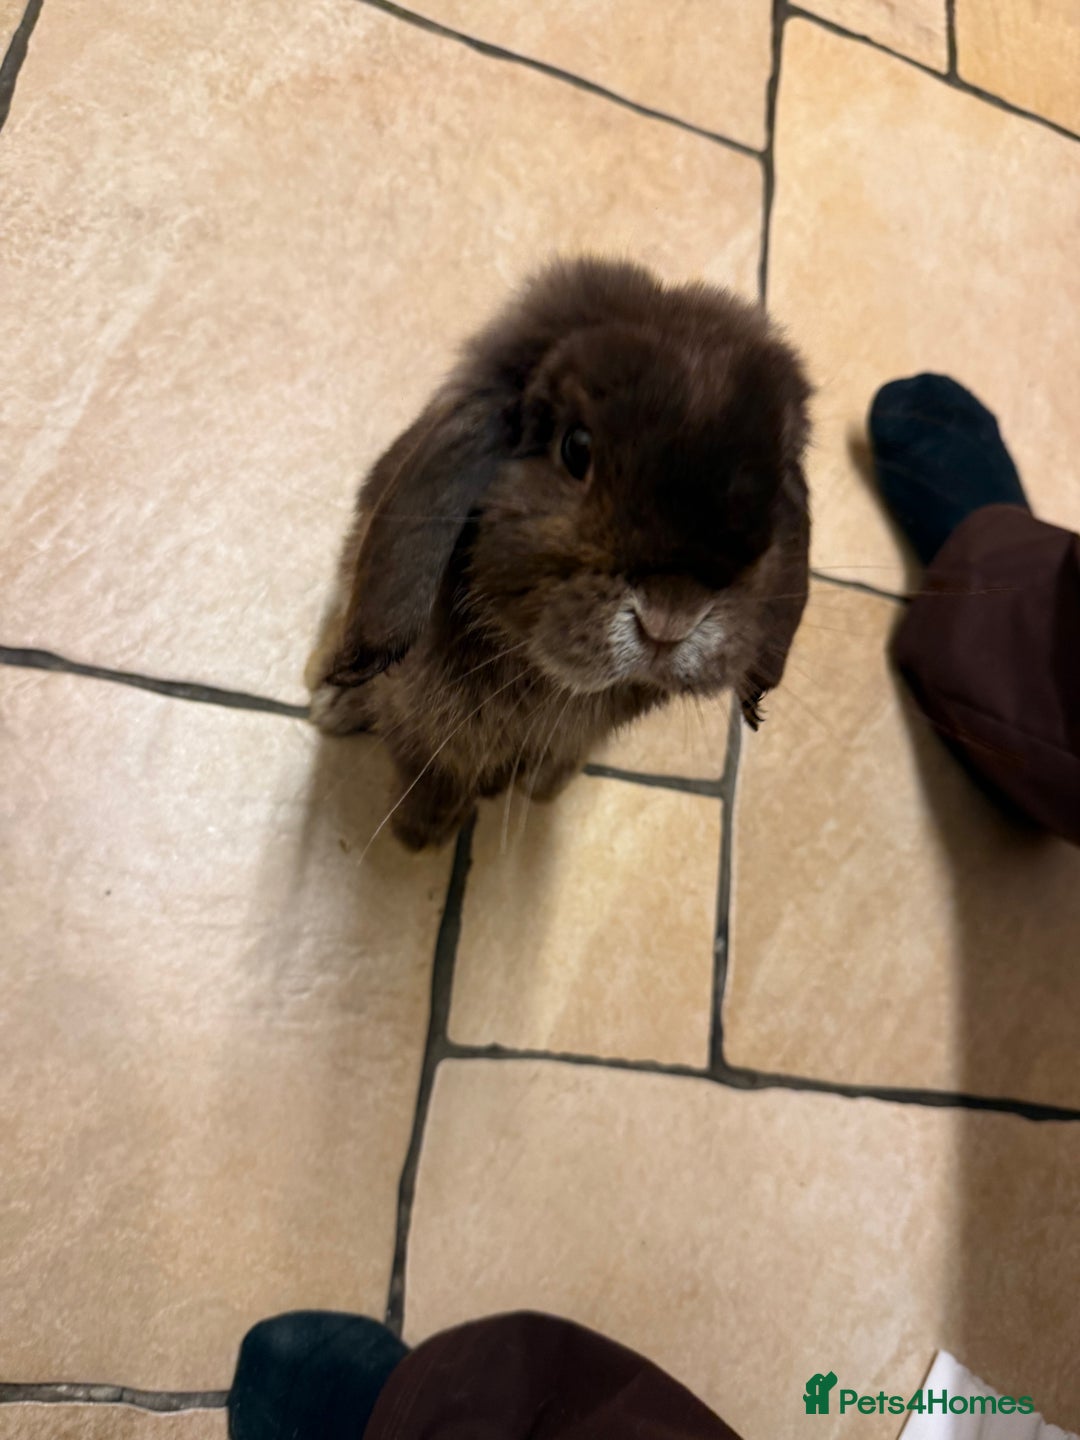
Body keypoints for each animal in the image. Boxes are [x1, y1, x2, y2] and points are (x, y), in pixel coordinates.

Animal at [305, 257, 811, 851]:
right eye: (576, 449)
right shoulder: (428, 719)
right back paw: (330, 702)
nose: (670, 618)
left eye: (773, 488)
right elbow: (431, 767)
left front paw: (539, 790)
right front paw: (420, 835)